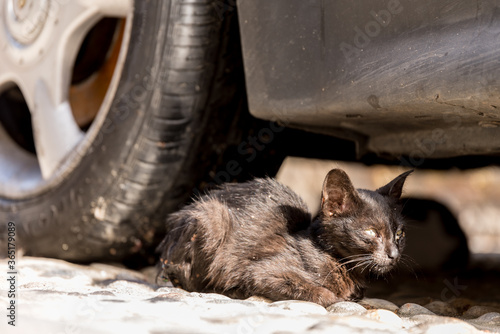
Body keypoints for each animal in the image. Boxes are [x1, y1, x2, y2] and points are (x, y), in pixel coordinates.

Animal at [158, 168, 412, 306]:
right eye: (371, 232)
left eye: (399, 233)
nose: (394, 254)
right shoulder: (263, 272)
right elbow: (318, 291)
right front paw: (338, 298)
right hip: (213, 217)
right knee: (193, 283)